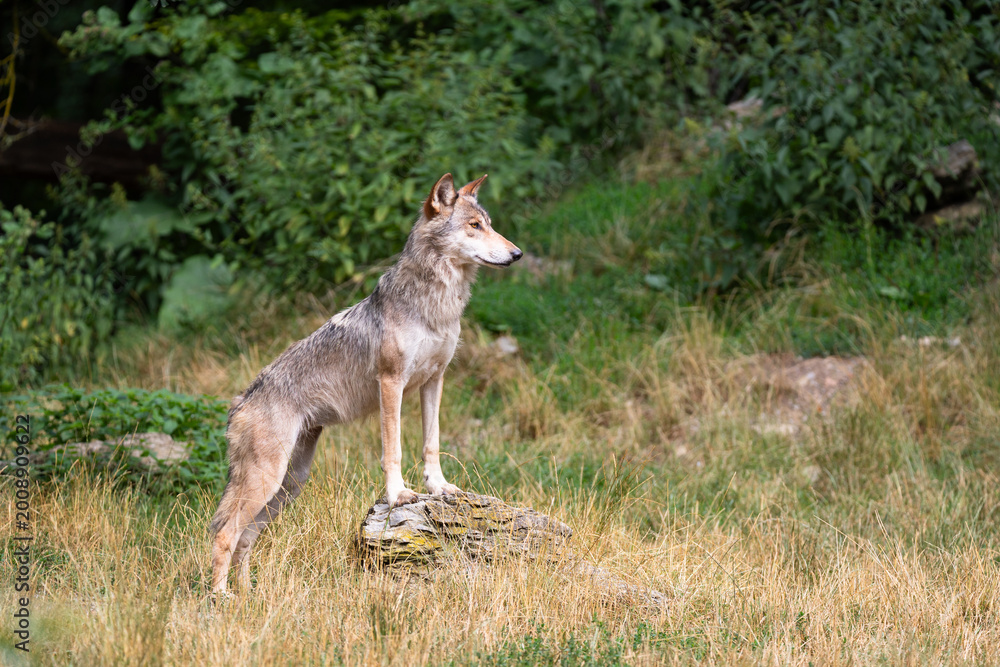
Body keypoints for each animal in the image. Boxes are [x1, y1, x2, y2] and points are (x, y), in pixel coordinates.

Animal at [208, 173, 522, 594]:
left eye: (489, 223)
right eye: (475, 226)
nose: (517, 253)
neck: (435, 302)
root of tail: (239, 402)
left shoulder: (434, 381)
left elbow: (432, 443)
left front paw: (440, 489)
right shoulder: (391, 383)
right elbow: (394, 449)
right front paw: (399, 494)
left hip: (288, 487)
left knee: (245, 537)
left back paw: (248, 596)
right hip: (266, 482)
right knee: (225, 533)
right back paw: (221, 597)